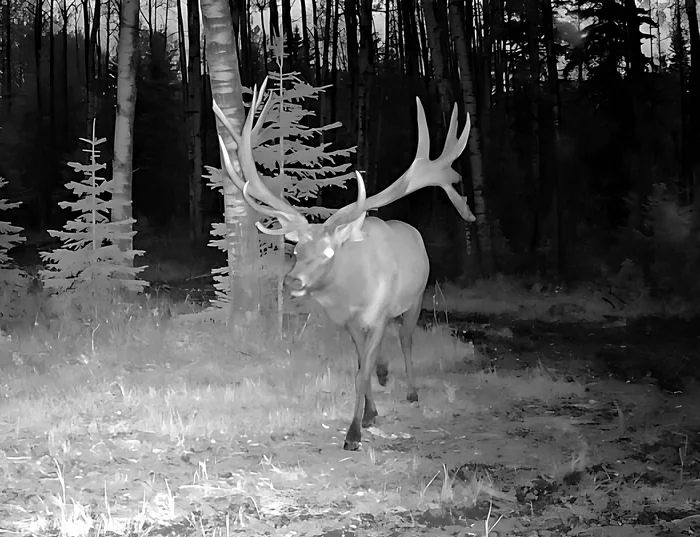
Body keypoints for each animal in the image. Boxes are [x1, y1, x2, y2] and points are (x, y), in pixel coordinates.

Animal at [213, 79, 476, 451]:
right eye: (296, 249)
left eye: (328, 253)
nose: (292, 282)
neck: (352, 294)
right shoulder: (348, 322)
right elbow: (360, 365)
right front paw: (370, 413)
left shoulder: (377, 316)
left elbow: (361, 372)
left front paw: (354, 433)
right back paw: (385, 373)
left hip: (416, 296)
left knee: (406, 338)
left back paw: (411, 390)